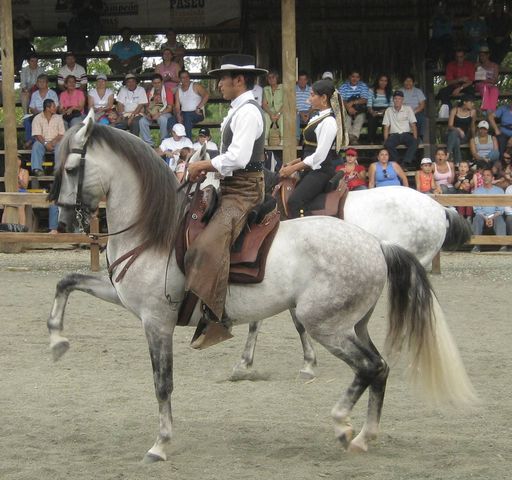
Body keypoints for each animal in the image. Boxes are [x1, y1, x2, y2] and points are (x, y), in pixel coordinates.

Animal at [48, 112, 476, 462]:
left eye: (70, 167)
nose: (64, 217)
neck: (155, 231)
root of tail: (376, 245)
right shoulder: (122, 296)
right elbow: (66, 282)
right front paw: (56, 341)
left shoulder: (156, 321)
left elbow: (163, 383)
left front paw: (161, 444)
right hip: (353, 324)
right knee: (379, 368)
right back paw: (363, 436)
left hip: (328, 325)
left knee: (370, 366)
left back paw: (342, 424)